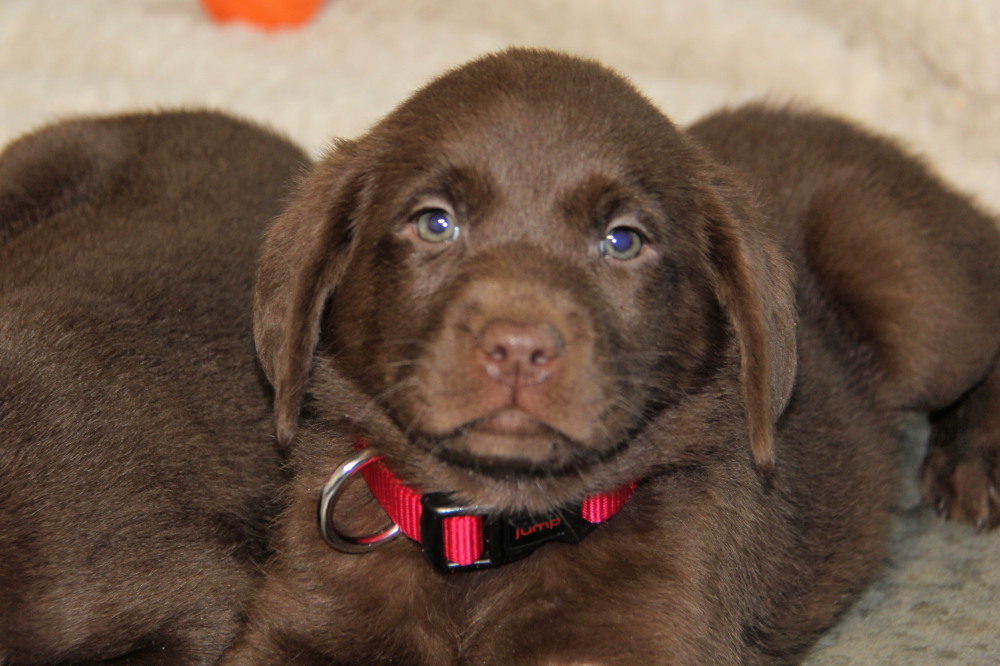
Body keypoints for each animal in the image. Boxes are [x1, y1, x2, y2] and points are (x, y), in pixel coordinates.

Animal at [227, 49, 1000, 660]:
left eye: (622, 240)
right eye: (434, 223)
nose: (518, 347)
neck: (491, 534)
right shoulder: (306, 616)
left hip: (907, 284)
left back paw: (972, 461)